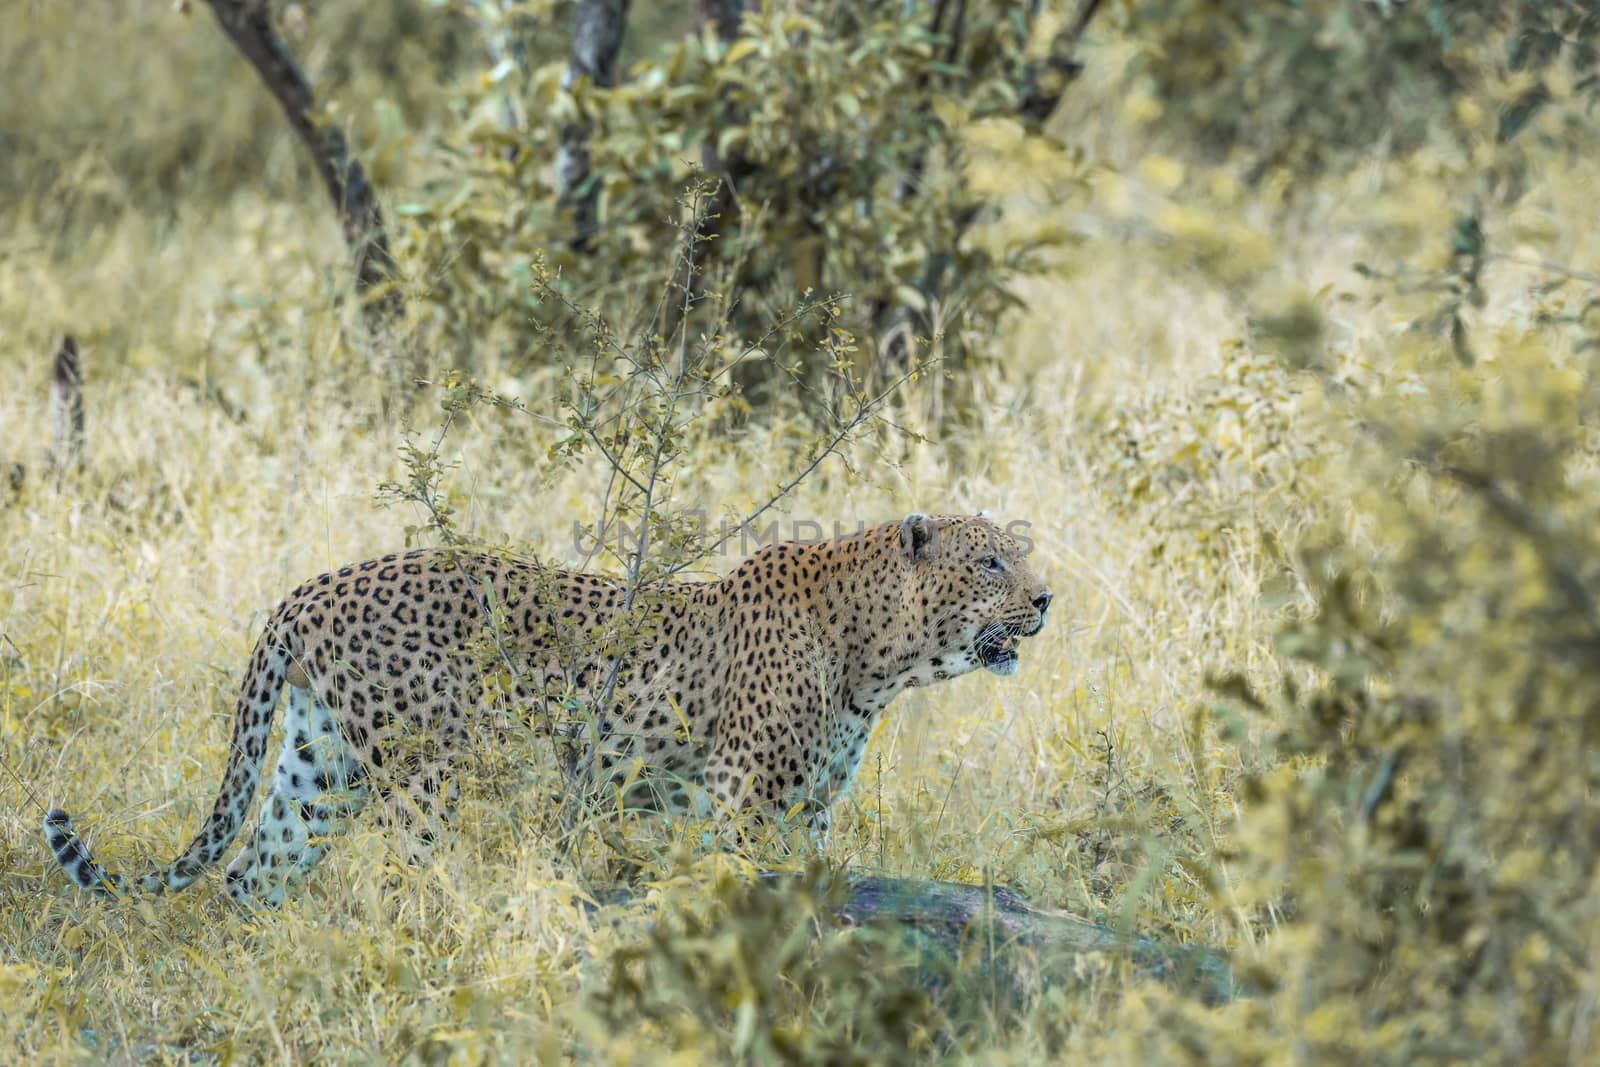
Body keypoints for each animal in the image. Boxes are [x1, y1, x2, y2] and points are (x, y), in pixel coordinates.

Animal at [43, 511, 1049, 908]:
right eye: (990, 562)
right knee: (419, 877)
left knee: (255, 870)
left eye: (1017, 556)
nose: (1045, 599)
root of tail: (306, 589)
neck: (880, 661)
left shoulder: (809, 810)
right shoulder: (747, 802)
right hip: (422, 772)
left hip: (318, 768)